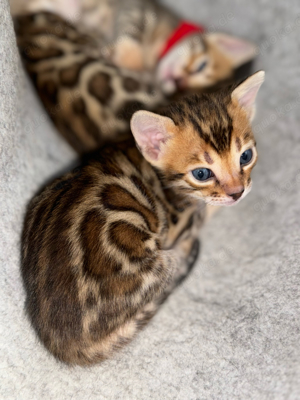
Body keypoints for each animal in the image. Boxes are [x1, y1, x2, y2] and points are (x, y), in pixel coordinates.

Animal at [10, 0, 256, 94]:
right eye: (201, 66)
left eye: (184, 92)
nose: (179, 82)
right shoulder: (136, 9)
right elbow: (132, 30)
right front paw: (128, 57)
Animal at [22, 70, 264, 364]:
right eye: (202, 174)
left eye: (246, 156)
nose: (237, 192)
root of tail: (64, 344)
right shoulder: (181, 224)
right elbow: (205, 210)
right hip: (160, 263)